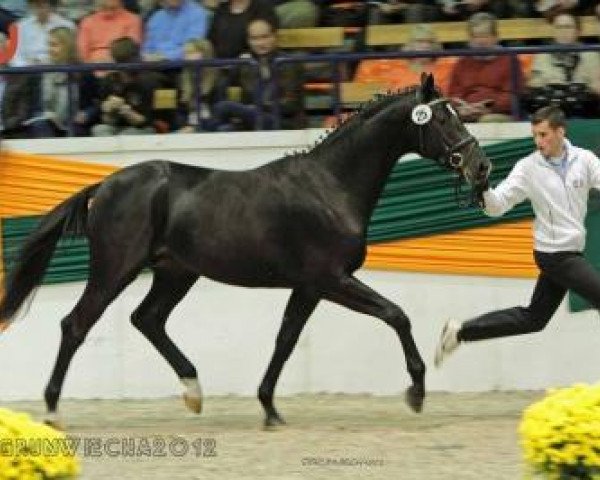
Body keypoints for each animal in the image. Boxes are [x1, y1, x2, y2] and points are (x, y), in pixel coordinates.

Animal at [0, 75, 492, 428]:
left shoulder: (308, 287)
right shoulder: (331, 279)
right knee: (76, 324)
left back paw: (194, 393)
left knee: (148, 319)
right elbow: (396, 315)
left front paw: (270, 409)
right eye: (444, 120)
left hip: (176, 272)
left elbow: (286, 339)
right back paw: (53, 411)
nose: (481, 166)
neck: (331, 187)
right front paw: (416, 393)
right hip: (116, 268)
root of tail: (103, 186)